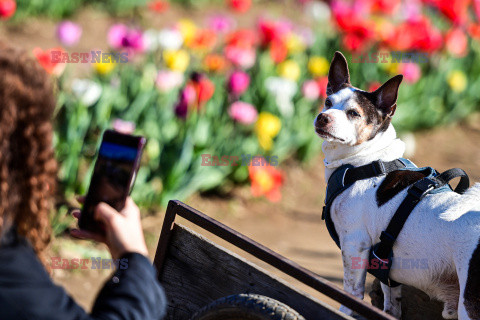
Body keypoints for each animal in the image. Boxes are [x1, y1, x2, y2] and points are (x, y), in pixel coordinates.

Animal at [316, 51, 480, 318]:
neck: (366, 160)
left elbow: (350, 295)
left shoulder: (354, 245)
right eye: (328, 102)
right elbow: (391, 303)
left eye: (354, 113)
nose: (323, 117)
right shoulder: (385, 265)